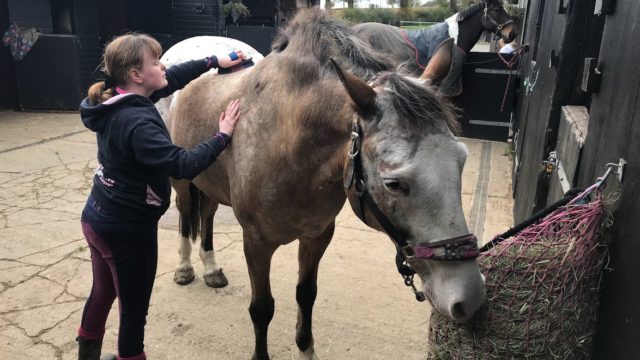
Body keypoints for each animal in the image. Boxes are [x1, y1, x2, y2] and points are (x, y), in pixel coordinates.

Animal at [168, 8, 482, 360]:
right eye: (393, 183)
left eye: (461, 160)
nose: (468, 297)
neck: (288, 140)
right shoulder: (256, 243)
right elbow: (262, 309)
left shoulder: (317, 236)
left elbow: (306, 294)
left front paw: (306, 349)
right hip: (181, 179)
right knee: (185, 215)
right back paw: (185, 268)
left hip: (210, 183)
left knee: (207, 214)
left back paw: (211, 270)